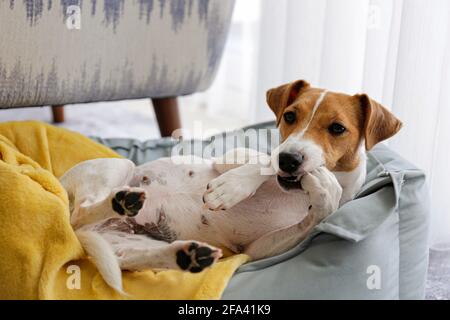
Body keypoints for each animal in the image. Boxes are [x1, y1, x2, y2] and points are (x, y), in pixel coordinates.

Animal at [59, 80, 400, 292]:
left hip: (130, 243)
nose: (290, 159)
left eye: (337, 128)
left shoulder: (258, 249)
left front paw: (326, 190)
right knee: (83, 210)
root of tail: (80, 234)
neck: (296, 195)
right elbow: (261, 160)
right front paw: (233, 187)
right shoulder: (229, 158)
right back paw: (121, 201)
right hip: (119, 169)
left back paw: (186, 255)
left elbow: (321, 210)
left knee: (139, 257)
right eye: (290, 116)